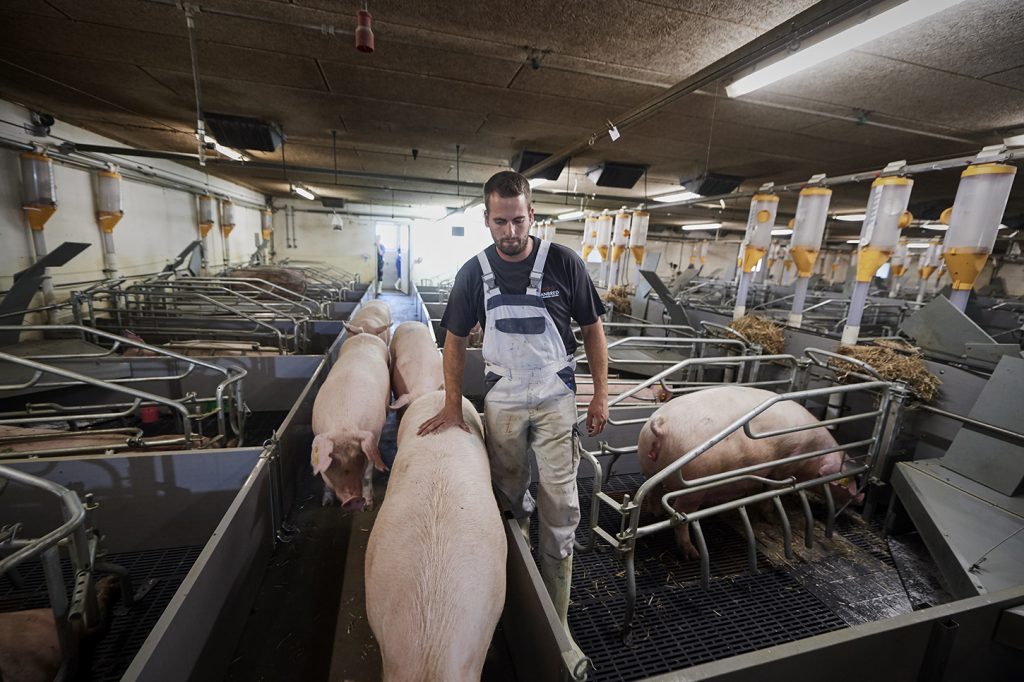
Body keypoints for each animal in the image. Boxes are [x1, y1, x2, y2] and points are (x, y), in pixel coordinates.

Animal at [311, 333, 390, 511]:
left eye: (359, 457)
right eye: (332, 460)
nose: (353, 499)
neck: (344, 426)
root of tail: (366, 334)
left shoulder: (375, 436)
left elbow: (368, 472)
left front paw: (368, 505)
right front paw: (326, 503)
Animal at [637, 385, 860, 558]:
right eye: (847, 481)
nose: (860, 496)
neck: (813, 452)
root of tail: (661, 423)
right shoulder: (784, 466)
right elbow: (771, 492)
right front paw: (771, 519)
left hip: (648, 465)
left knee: (653, 492)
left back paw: (656, 514)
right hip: (693, 485)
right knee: (681, 517)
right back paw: (692, 553)